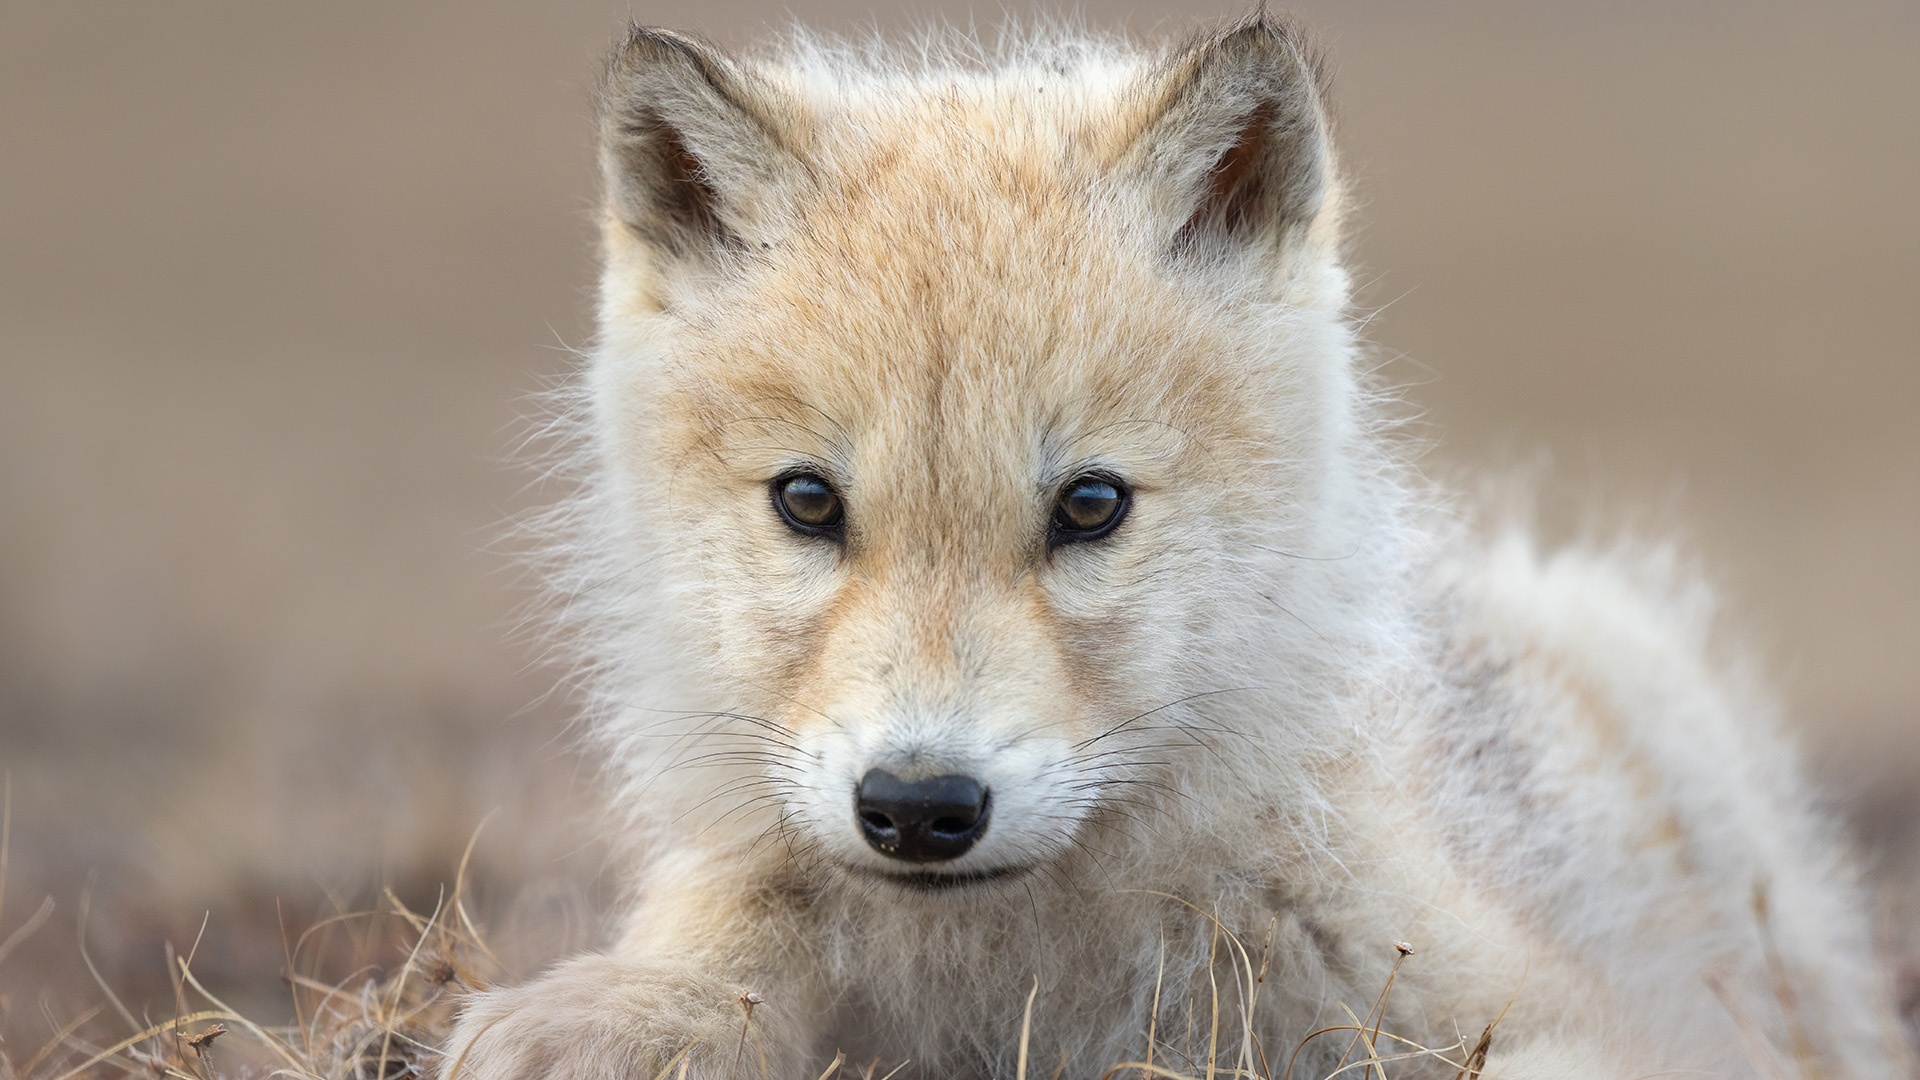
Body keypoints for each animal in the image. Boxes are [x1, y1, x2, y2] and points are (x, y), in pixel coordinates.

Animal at [443, 13, 1908, 1080]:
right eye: (808, 502)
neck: (1023, 975)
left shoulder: (1550, 1011)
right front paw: (625, 1013)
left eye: (1091, 507)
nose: (919, 808)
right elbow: (711, 974)